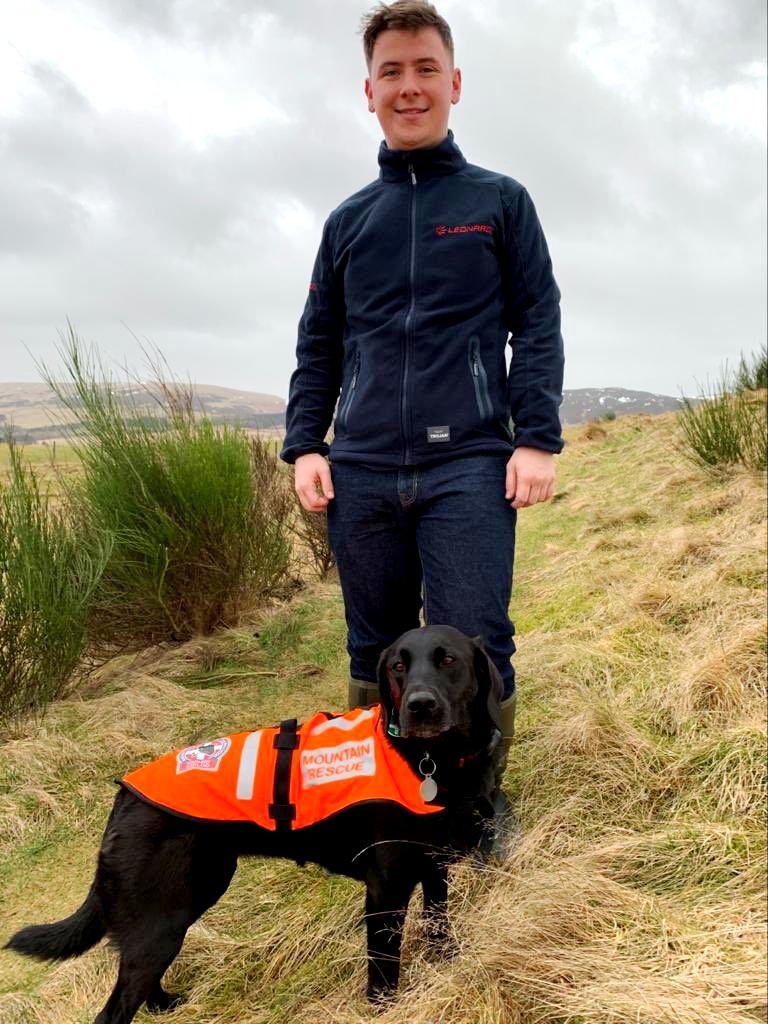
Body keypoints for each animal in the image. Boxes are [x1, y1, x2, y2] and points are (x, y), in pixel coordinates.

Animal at [6, 622, 501, 1024]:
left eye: (449, 660)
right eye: (399, 666)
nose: (419, 706)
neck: (429, 761)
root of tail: (125, 796)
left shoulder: (435, 868)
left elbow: (440, 927)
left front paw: (448, 964)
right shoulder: (384, 891)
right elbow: (384, 971)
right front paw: (388, 1008)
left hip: (186, 900)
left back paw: (164, 1005)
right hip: (162, 920)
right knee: (113, 1010)